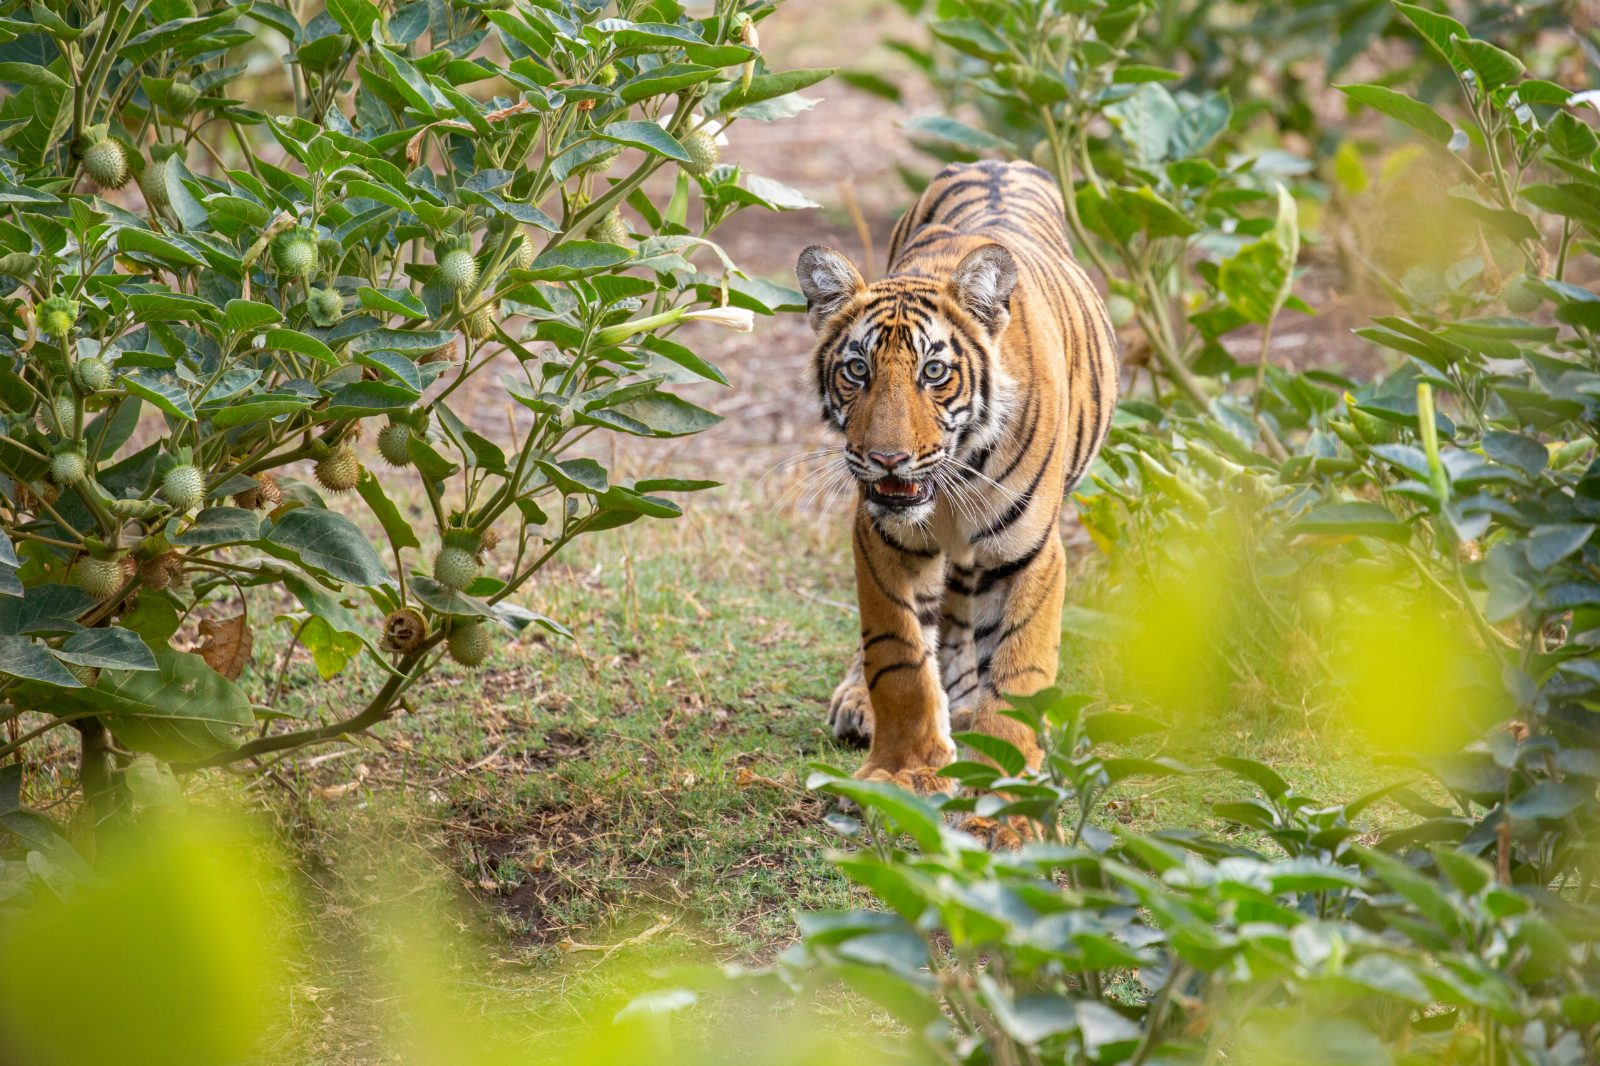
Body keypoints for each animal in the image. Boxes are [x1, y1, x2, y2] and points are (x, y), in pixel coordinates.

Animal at [794, 159, 1119, 793]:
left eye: (934, 372)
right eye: (857, 370)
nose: (887, 458)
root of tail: (997, 161)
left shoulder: (1030, 552)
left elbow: (1019, 668)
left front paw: (1005, 776)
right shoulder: (881, 537)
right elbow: (898, 657)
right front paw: (905, 767)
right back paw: (862, 704)